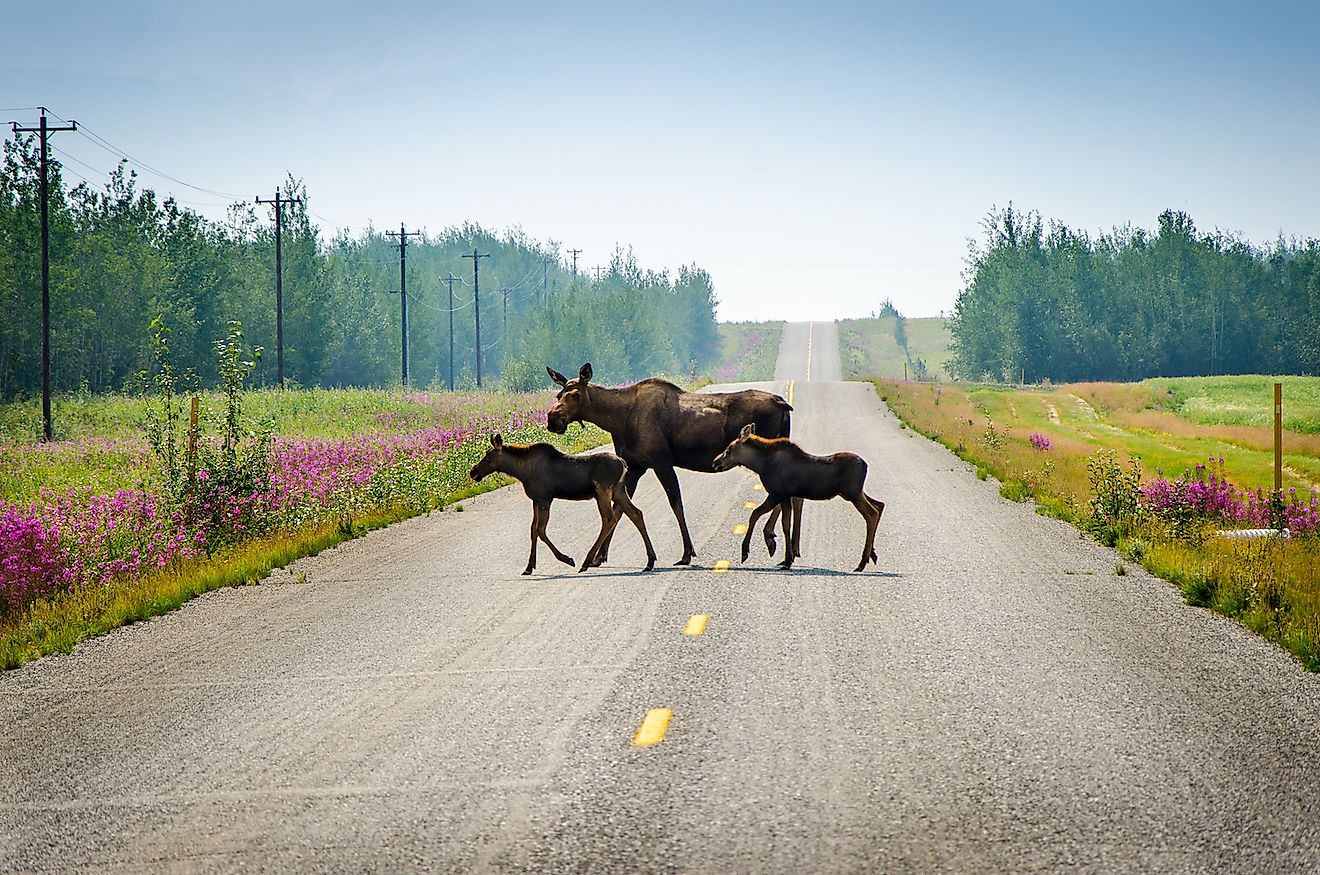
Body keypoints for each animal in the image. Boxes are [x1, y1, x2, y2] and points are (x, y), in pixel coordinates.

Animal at [467, 435, 657, 575]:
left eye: (488, 457)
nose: (473, 471)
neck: (521, 471)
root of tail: (623, 464)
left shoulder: (545, 498)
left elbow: (541, 531)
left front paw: (566, 559)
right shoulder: (536, 500)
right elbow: (533, 530)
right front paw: (529, 567)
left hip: (602, 491)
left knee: (609, 518)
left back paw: (587, 561)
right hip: (618, 490)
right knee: (635, 513)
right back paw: (650, 560)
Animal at [546, 361, 792, 567]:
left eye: (576, 394)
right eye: (559, 394)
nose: (552, 419)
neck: (617, 420)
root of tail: (783, 404)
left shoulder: (660, 462)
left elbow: (676, 505)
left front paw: (687, 553)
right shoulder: (634, 468)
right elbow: (619, 510)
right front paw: (600, 556)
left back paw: (772, 540)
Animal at [712, 424, 887, 575]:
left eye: (729, 449)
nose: (715, 462)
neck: (760, 465)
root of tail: (866, 465)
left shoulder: (776, 493)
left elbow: (756, 514)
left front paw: (746, 551)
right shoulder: (785, 496)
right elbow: (785, 524)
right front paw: (786, 559)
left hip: (853, 494)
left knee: (871, 513)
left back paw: (862, 562)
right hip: (855, 493)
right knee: (879, 505)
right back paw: (871, 555)